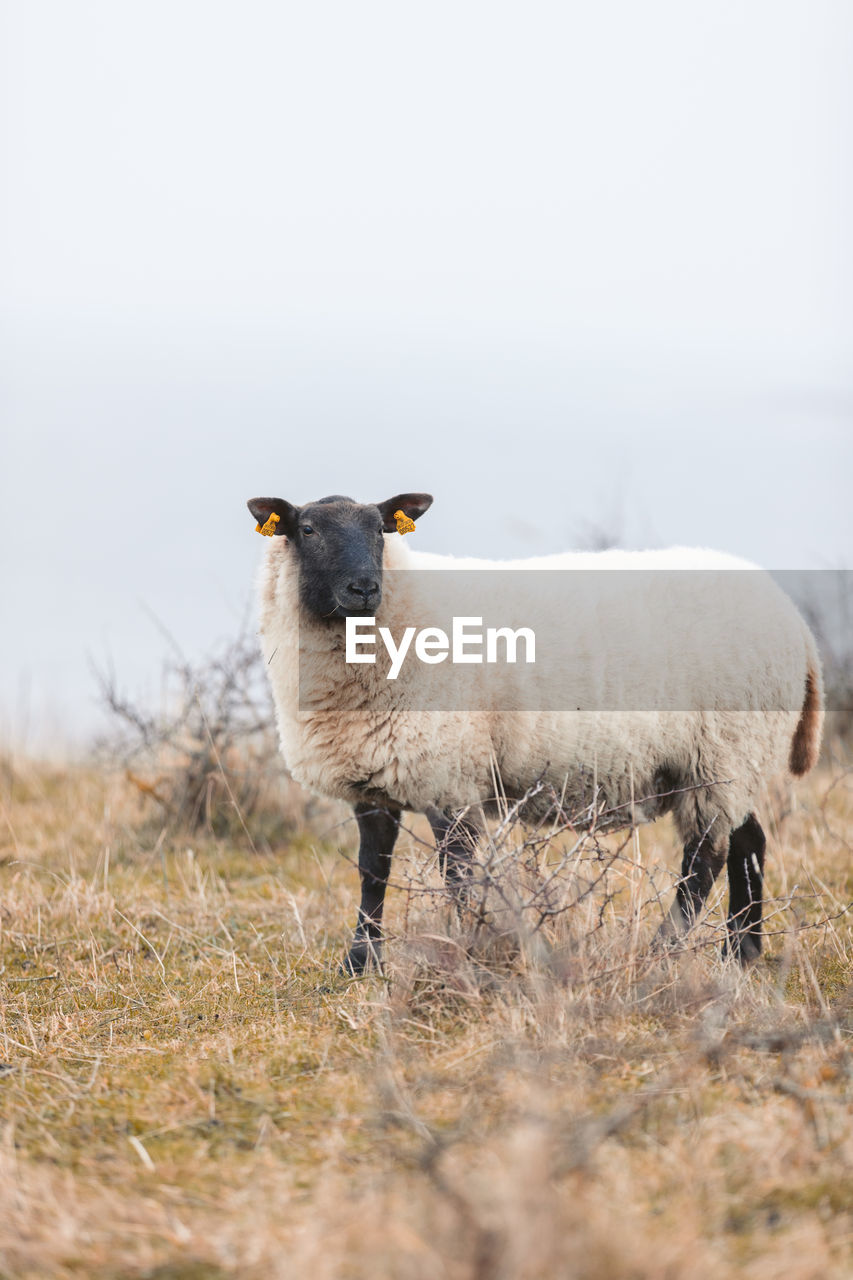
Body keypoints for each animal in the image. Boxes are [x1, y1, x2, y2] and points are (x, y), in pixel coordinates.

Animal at [247, 488, 824, 967]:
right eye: (307, 530)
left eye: (380, 531)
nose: (364, 589)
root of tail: (795, 622)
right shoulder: (374, 783)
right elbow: (373, 872)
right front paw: (358, 965)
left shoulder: (450, 774)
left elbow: (459, 874)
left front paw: (469, 952)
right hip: (732, 763)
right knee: (749, 842)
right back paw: (741, 953)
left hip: (723, 753)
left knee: (706, 858)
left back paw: (666, 951)